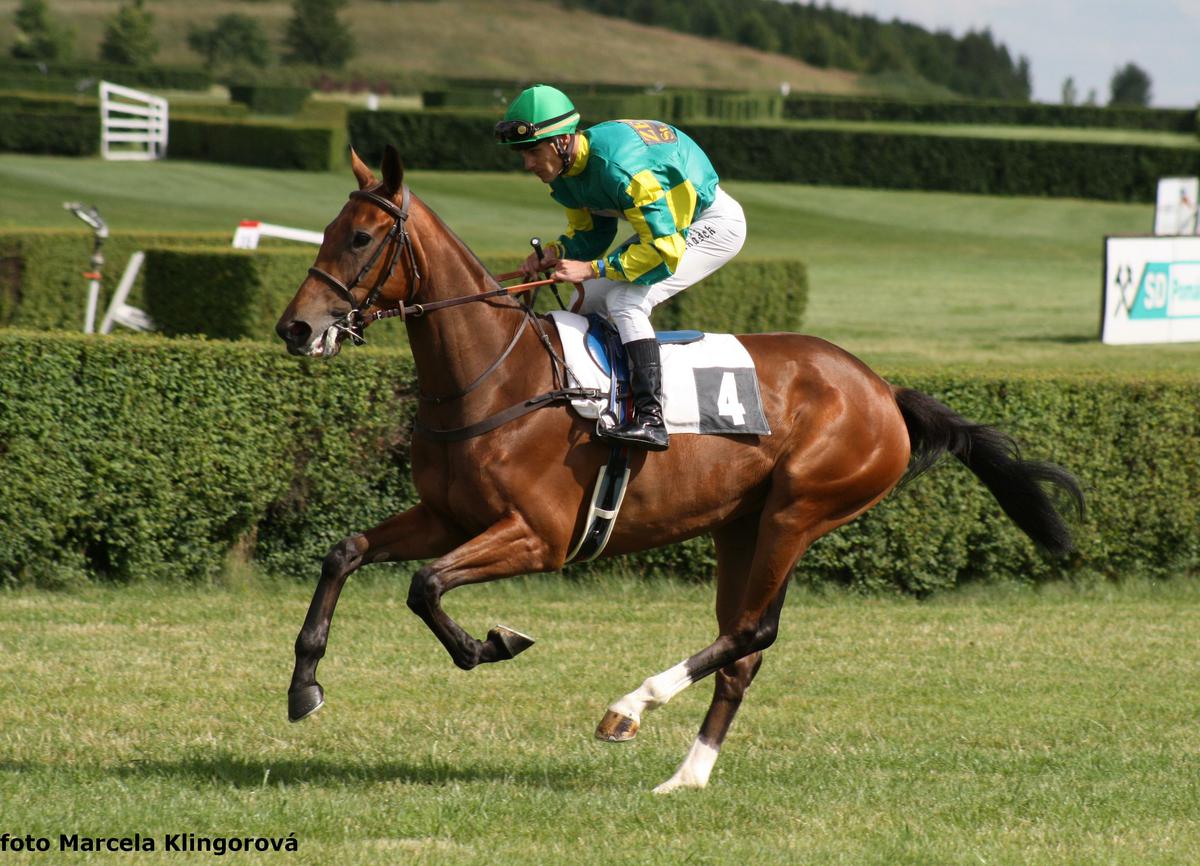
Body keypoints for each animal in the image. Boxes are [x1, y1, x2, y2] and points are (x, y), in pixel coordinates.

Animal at [275, 145, 1084, 793]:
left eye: (361, 237)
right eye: (326, 232)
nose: (295, 327)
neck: (496, 378)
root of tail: (883, 390)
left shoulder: (539, 535)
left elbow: (425, 584)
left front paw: (488, 644)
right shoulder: (448, 515)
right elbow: (346, 553)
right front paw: (304, 685)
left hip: (799, 511)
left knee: (753, 631)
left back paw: (629, 708)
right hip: (742, 526)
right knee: (742, 650)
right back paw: (687, 775)